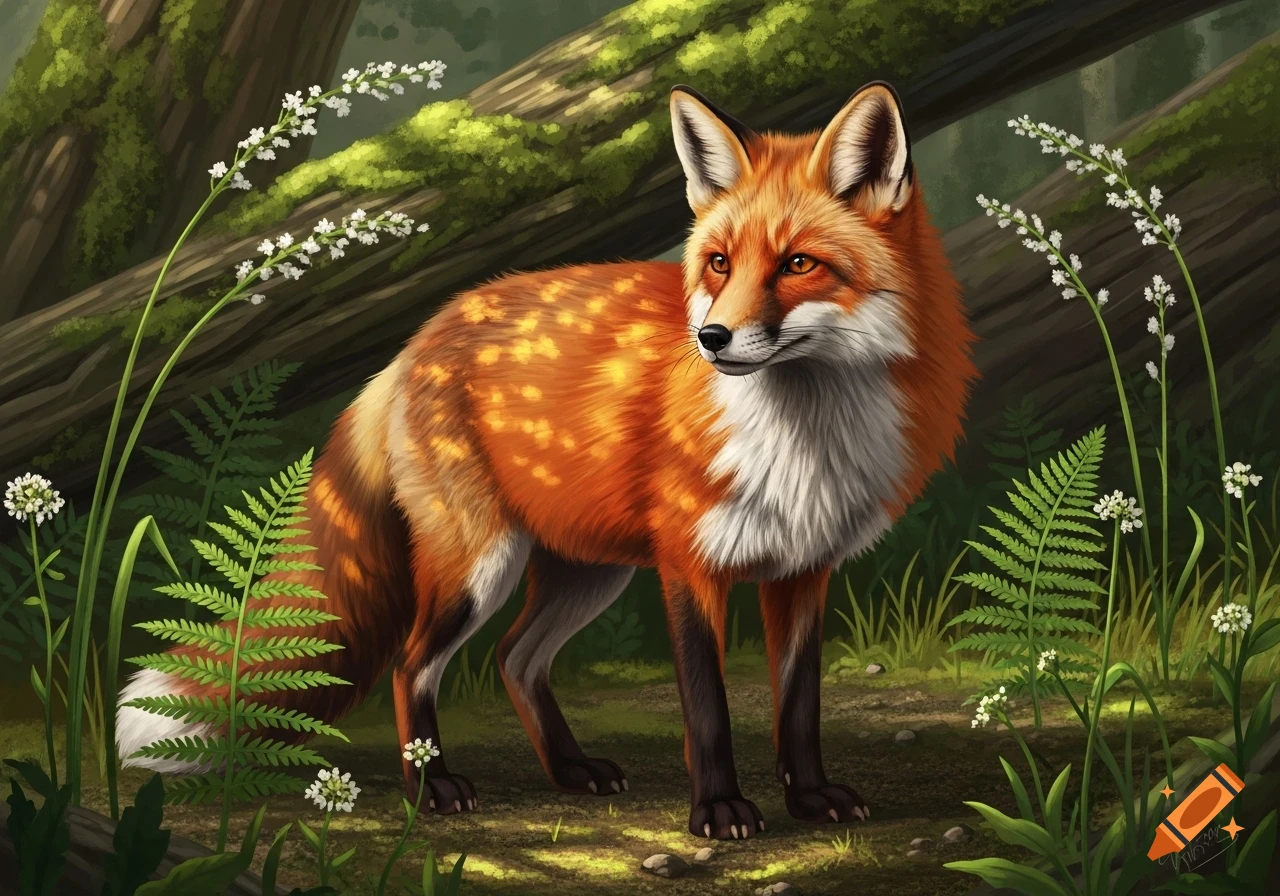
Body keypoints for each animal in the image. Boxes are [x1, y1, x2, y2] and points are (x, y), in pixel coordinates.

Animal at [117, 81, 976, 839]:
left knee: (515, 658)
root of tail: (419, 336)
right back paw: (432, 788)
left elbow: (799, 706)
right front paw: (719, 812)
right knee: (412, 663)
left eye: (799, 264)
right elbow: (708, 709)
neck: (803, 438)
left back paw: (569, 770)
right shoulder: (688, 567)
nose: (711, 339)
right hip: (479, 566)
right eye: (719, 264)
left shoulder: (803, 570)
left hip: (586, 573)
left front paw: (810, 798)